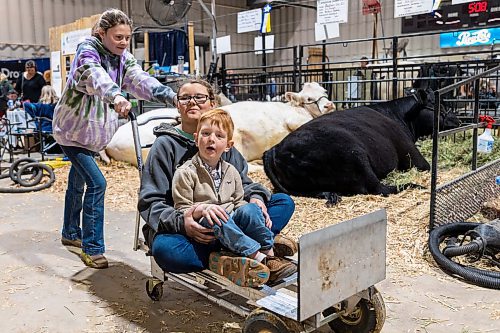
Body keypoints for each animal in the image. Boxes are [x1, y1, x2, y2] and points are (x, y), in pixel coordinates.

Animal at [264, 88, 462, 205]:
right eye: (439, 106)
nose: (458, 120)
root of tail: (273, 149)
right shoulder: (412, 155)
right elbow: (429, 166)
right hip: (354, 155)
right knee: (379, 188)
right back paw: (413, 185)